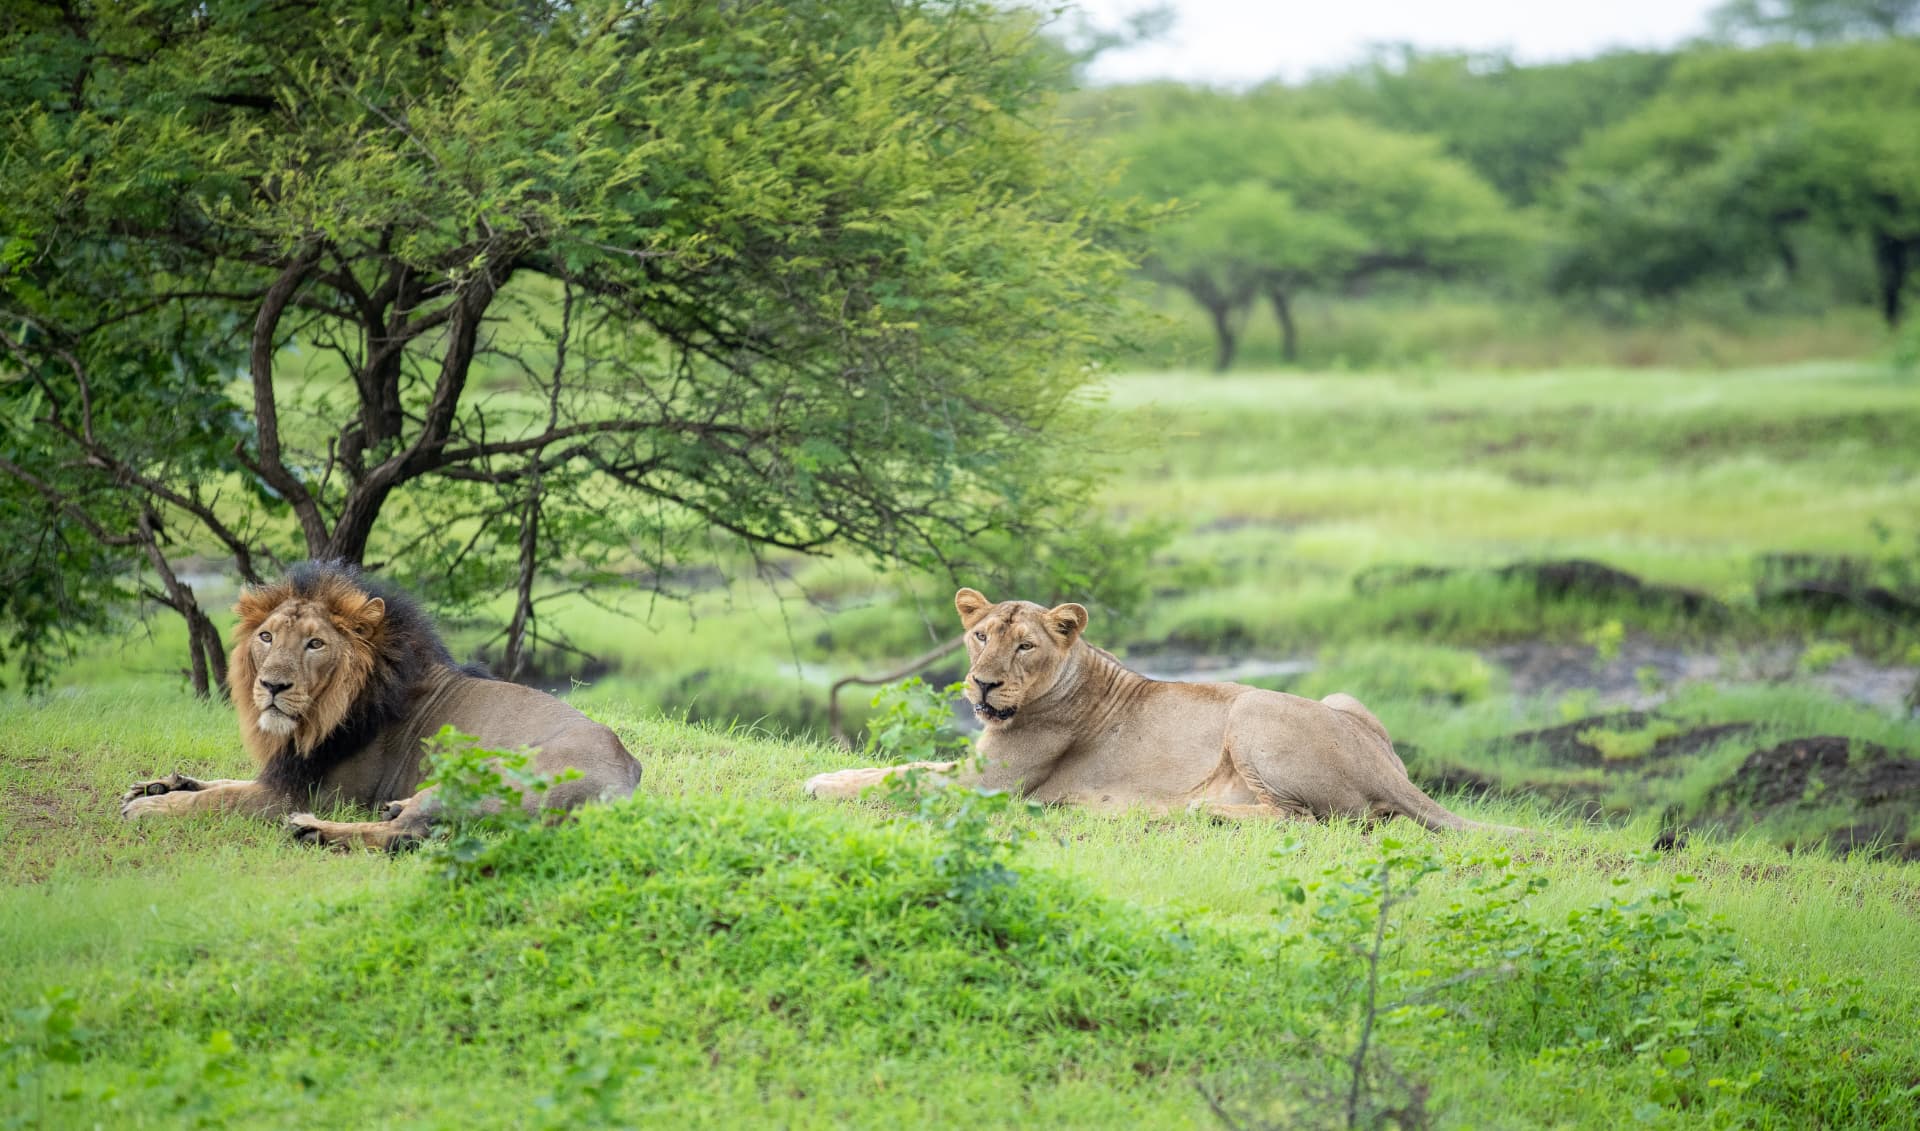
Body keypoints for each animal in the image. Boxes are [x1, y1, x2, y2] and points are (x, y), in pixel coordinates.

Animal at [120, 562, 641, 850]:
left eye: (314, 644)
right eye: (266, 637)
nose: (271, 685)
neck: (316, 719)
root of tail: (628, 779)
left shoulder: (300, 794)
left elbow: (219, 799)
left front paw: (152, 808)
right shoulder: (288, 772)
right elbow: (224, 782)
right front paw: (159, 785)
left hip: (485, 772)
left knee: (406, 835)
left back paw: (314, 832)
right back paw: (392, 806)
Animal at [806, 588, 1516, 831]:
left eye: (1025, 645)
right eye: (980, 635)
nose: (982, 685)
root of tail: (1389, 772)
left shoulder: (989, 786)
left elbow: (898, 777)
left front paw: (820, 784)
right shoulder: (974, 770)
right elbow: (902, 766)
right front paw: (829, 774)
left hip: (1252, 710)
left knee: (1315, 821)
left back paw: (1195, 811)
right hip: (1343, 699)